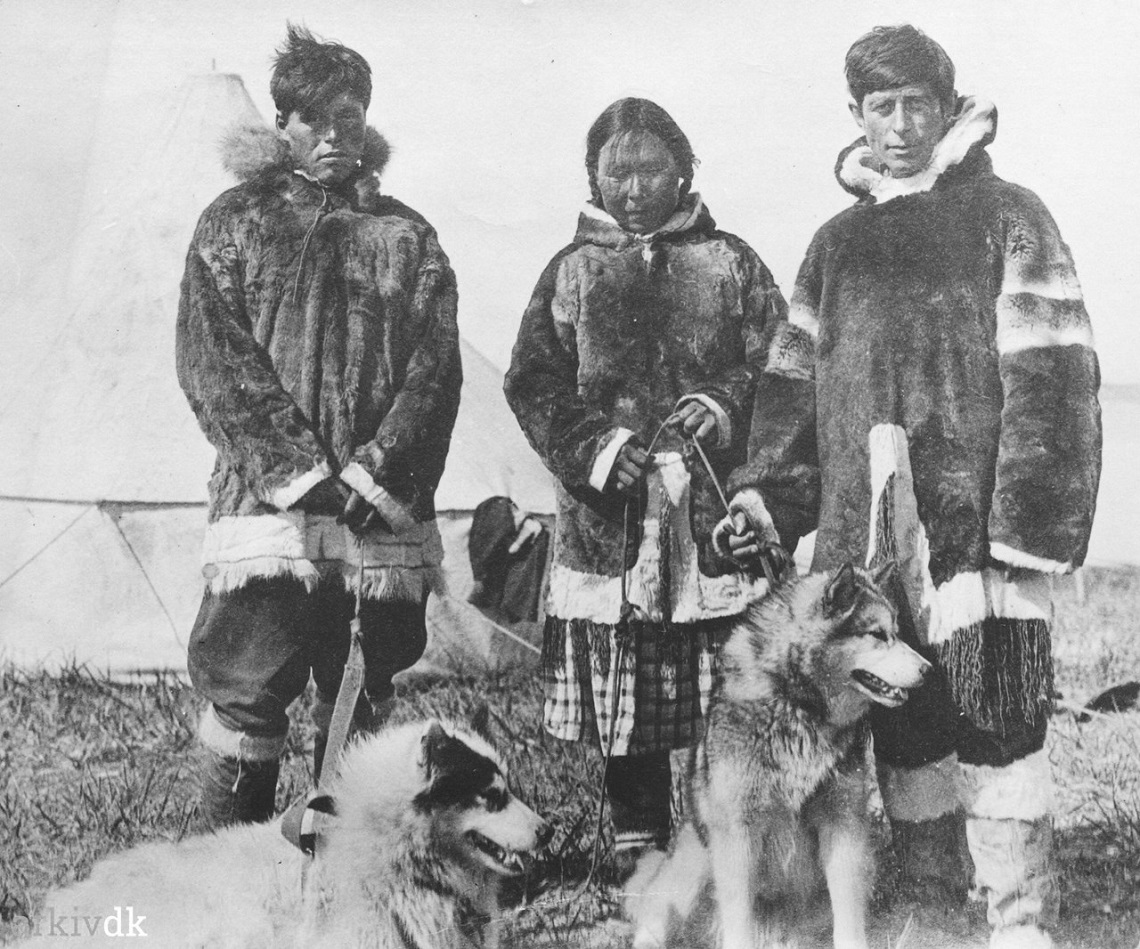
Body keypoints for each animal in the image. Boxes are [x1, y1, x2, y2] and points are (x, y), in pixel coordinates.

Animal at [629, 563, 930, 949]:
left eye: (896, 632)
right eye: (877, 634)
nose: (927, 669)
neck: (797, 705)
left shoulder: (844, 826)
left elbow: (848, 914)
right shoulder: (738, 836)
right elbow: (738, 920)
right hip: (693, 869)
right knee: (655, 919)